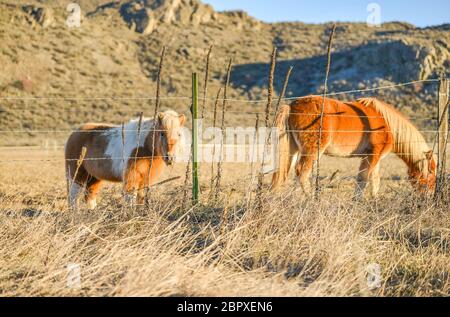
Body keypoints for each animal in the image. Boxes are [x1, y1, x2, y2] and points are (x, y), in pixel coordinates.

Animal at [270, 95, 436, 196]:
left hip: (293, 151)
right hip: (312, 151)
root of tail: (291, 106)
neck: (387, 124)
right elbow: (364, 179)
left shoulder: (372, 158)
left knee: (285, 173)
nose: (430, 195)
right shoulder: (373, 156)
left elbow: (373, 180)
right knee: (302, 173)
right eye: (431, 171)